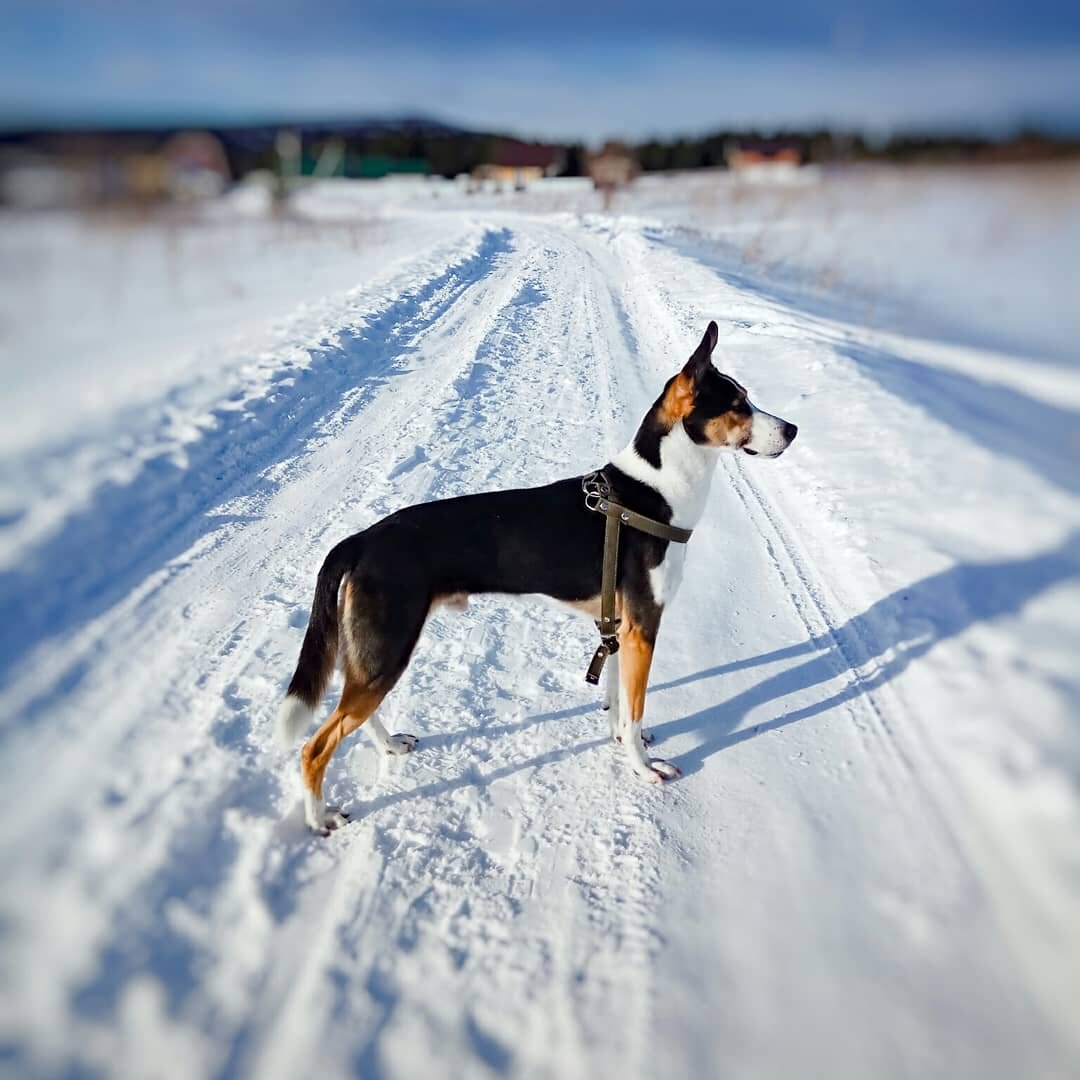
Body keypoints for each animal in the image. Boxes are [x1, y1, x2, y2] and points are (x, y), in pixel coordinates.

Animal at [276, 319, 803, 833]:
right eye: (737, 405)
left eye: (747, 397)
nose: (794, 429)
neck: (655, 490)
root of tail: (363, 538)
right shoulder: (643, 626)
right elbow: (634, 711)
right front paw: (643, 767)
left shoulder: (618, 628)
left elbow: (618, 703)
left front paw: (621, 740)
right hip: (389, 644)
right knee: (315, 746)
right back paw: (321, 818)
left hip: (375, 653)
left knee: (354, 713)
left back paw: (389, 747)